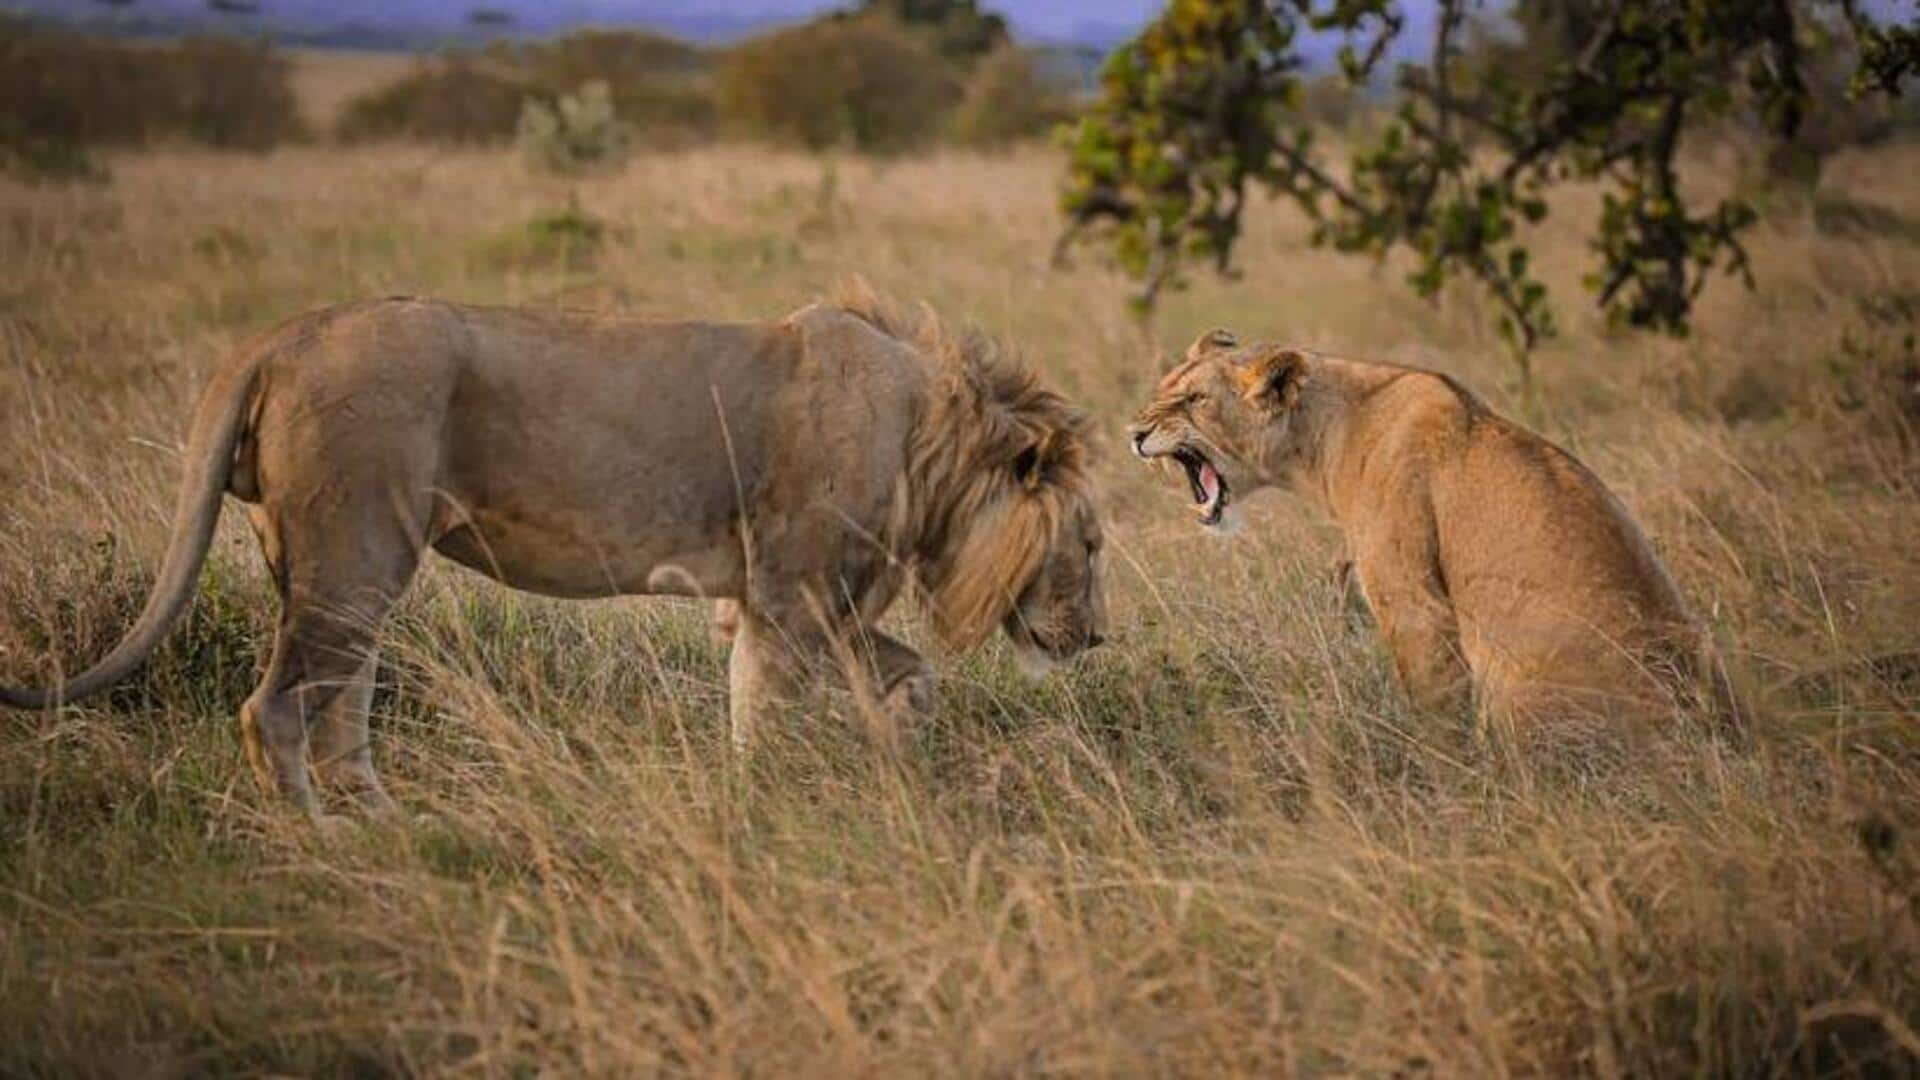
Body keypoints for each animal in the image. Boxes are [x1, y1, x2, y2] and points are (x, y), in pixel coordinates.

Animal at [3, 286, 1113, 814]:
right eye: (1095, 543)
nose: (1098, 639)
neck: (932, 439)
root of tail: (280, 336)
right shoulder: (798, 592)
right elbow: (831, 698)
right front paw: (799, 795)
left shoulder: (775, 603)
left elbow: (821, 692)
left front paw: (856, 779)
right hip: (355, 547)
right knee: (273, 710)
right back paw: (326, 840)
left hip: (330, 562)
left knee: (341, 702)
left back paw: (386, 823)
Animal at [1121, 332, 1743, 726]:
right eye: (1163, 388)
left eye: (1194, 399)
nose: (1134, 432)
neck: (1322, 438)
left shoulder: (1414, 604)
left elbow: (1433, 704)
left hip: (1515, 683)